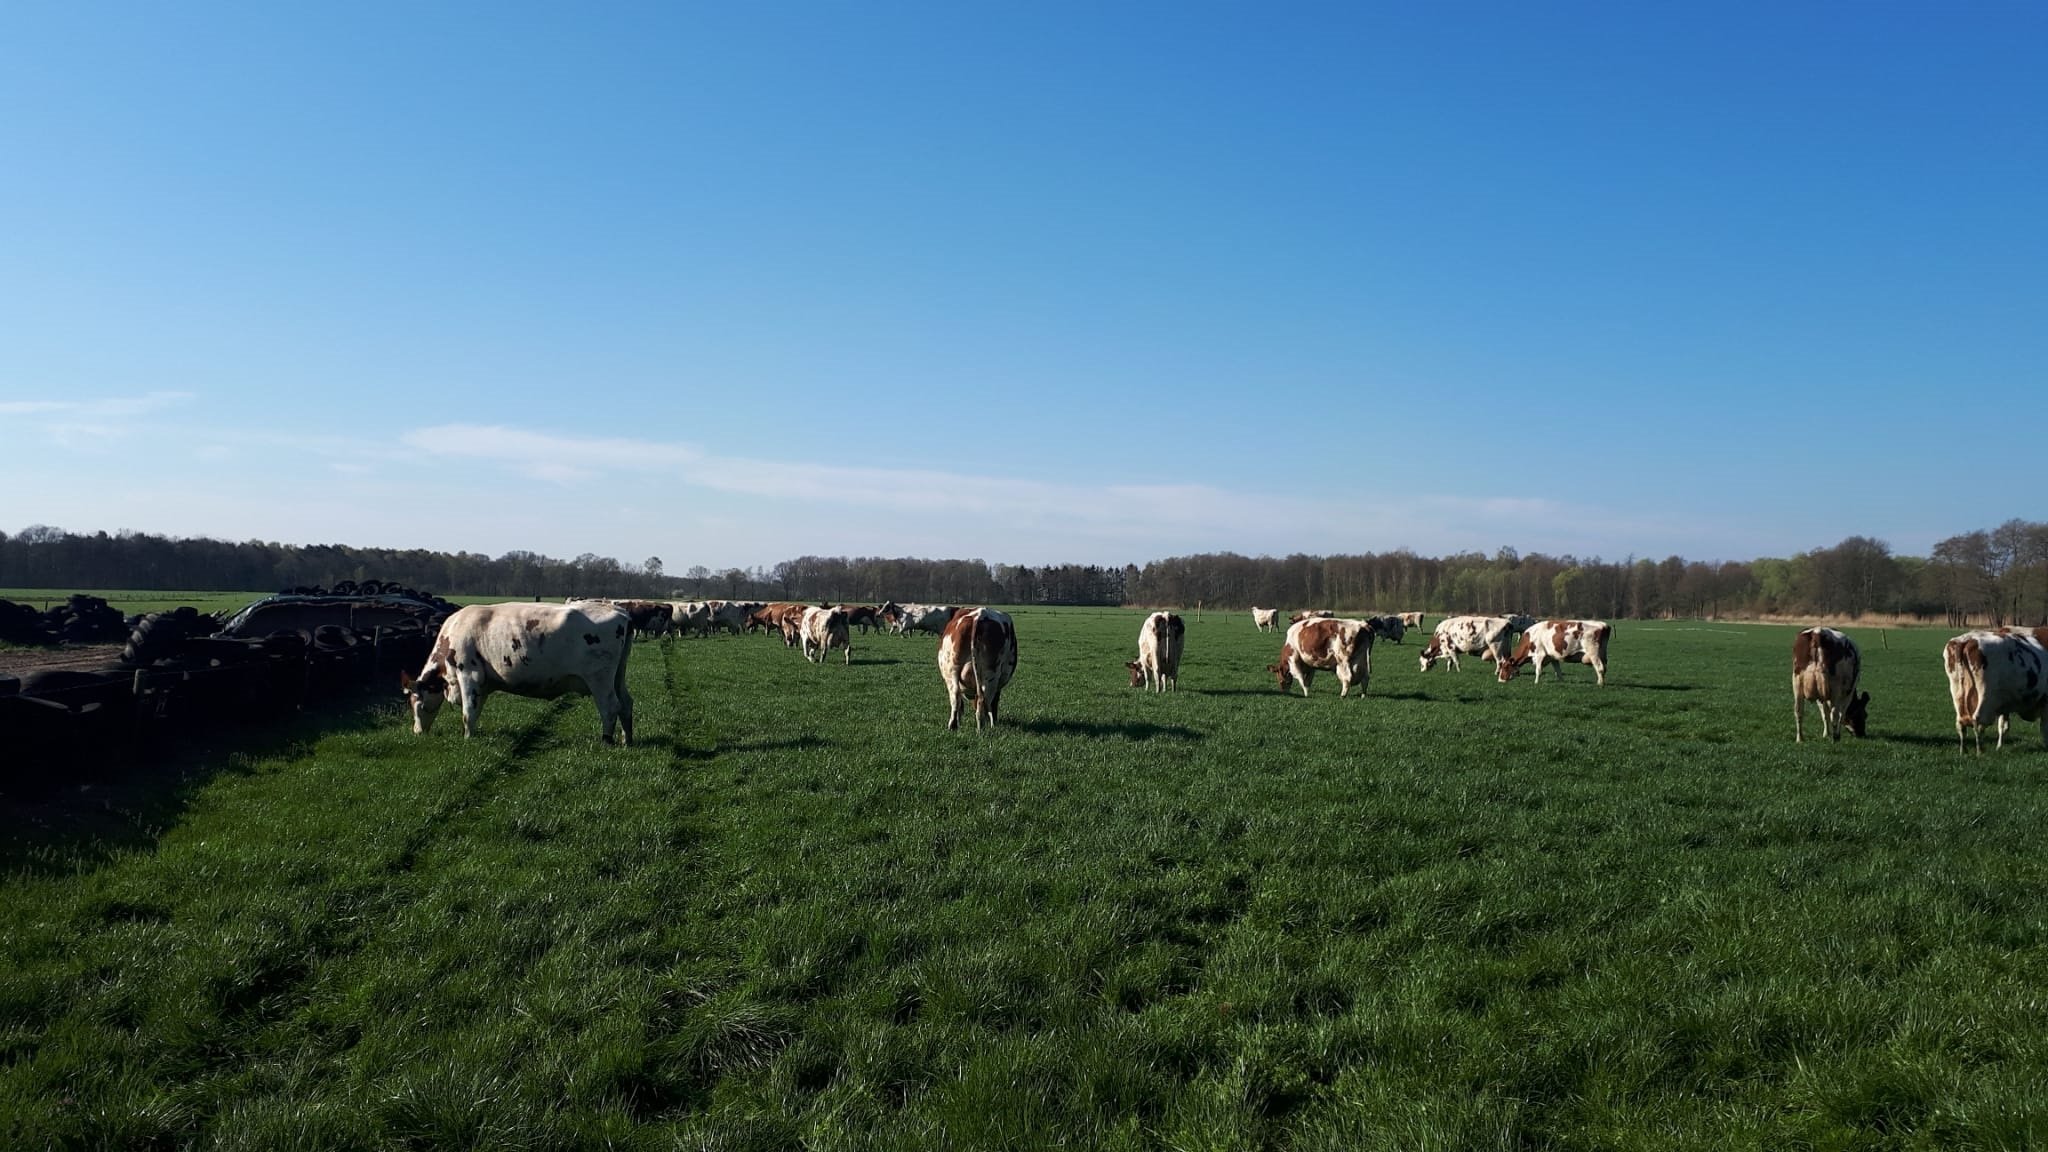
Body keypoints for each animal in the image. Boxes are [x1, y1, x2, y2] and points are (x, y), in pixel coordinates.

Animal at [395, 602, 626, 746]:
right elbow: (475, 709)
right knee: (626, 705)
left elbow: (468, 712)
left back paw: (607, 740)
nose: (417, 732)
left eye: (415, 704)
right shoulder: (483, 685)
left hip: (599, 679)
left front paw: (467, 739)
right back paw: (627, 740)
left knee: (610, 707)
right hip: (617, 678)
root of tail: (619, 611)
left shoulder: (469, 674)